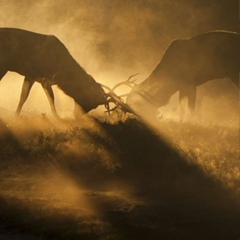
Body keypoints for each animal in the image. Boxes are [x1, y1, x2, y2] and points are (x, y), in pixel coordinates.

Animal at [0, 27, 133, 117]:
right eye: (91, 101)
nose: (77, 116)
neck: (63, 75)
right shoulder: (45, 78)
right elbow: (52, 100)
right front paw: (57, 119)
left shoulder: (31, 75)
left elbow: (23, 97)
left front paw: (16, 117)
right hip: (3, 65)